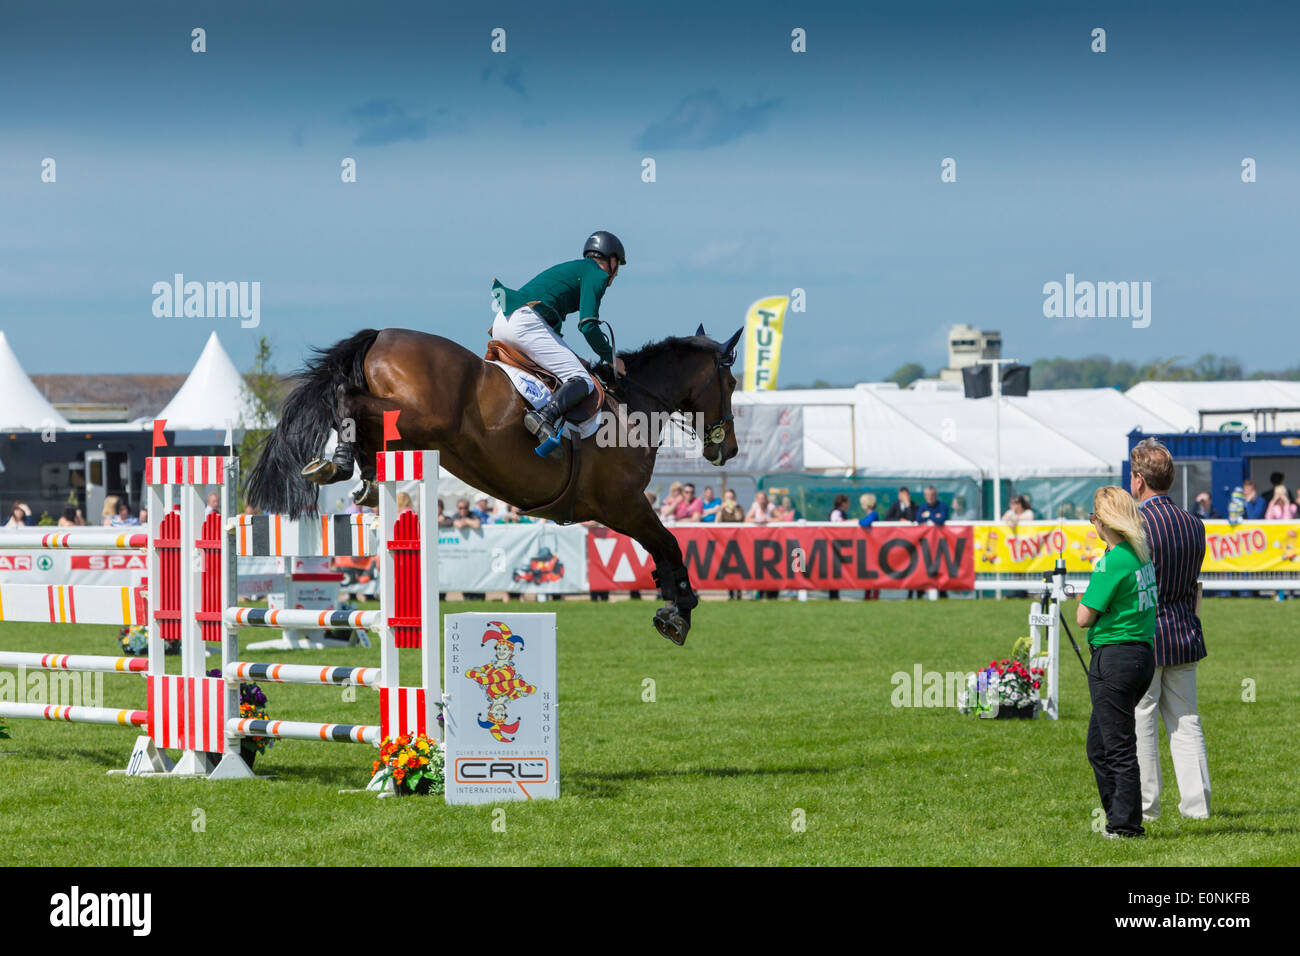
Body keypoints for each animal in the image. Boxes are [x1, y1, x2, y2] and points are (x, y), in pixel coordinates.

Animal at [245, 325, 743, 647]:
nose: (730, 449)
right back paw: (345, 461)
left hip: (408, 427)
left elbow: (662, 549)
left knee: (353, 411)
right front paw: (679, 611)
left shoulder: (621, 509)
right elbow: (669, 545)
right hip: (419, 417)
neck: (634, 404)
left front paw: (673, 606)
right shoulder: (623, 505)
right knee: (344, 396)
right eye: (733, 381)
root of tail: (382, 335)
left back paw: (354, 468)